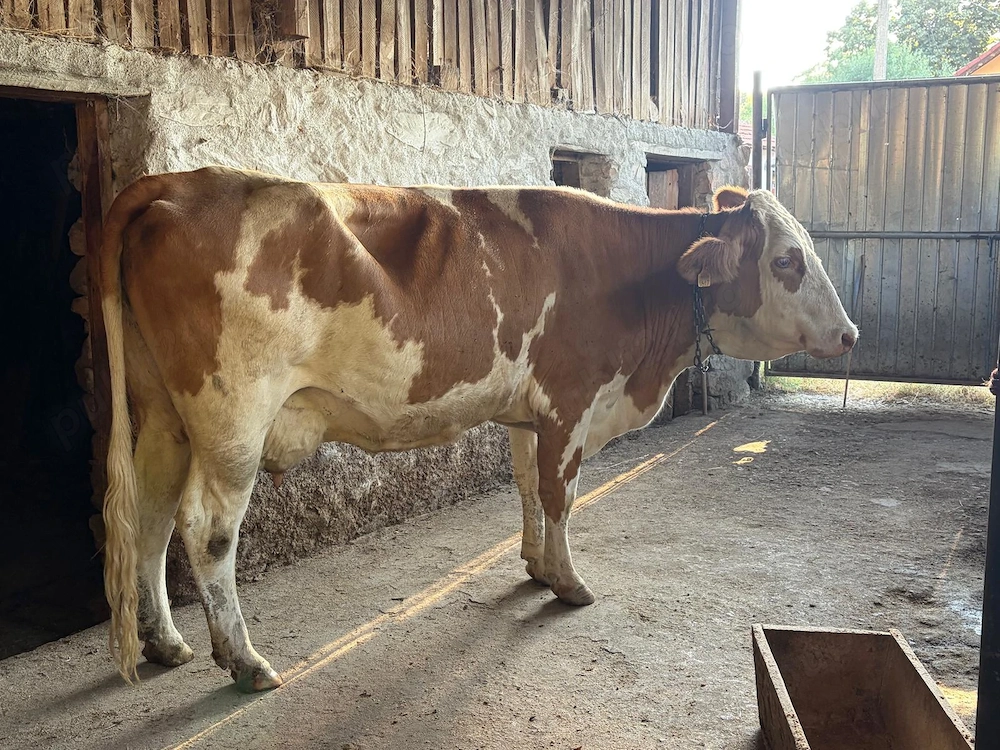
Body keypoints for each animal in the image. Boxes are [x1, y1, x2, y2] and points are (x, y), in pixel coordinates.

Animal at [98, 166, 857, 692]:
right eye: (786, 261)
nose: (850, 334)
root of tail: (174, 183)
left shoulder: (530, 412)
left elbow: (525, 485)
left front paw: (535, 566)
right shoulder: (570, 401)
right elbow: (560, 495)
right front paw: (568, 583)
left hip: (164, 414)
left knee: (152, 515)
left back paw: (166, 642)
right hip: (232, 418)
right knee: (205, 530)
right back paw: (245, 660)